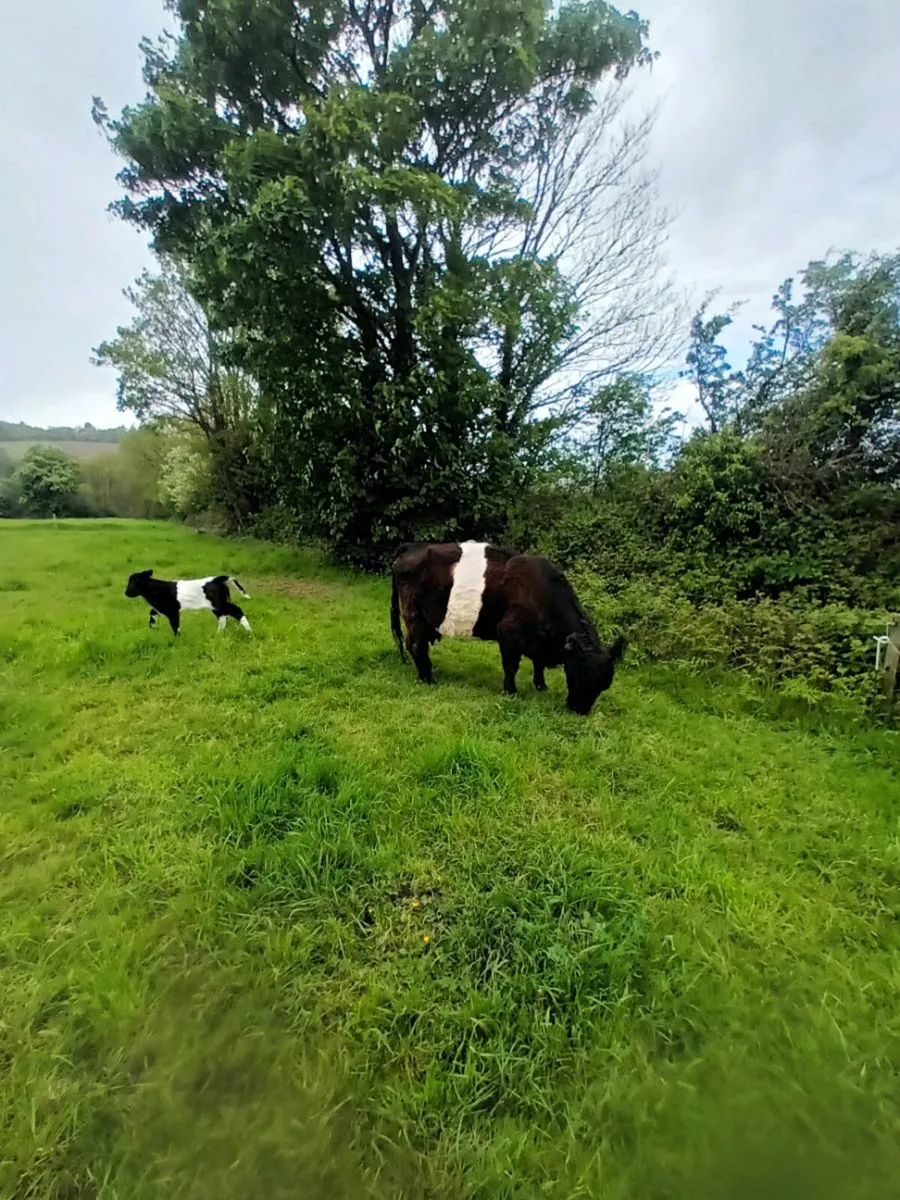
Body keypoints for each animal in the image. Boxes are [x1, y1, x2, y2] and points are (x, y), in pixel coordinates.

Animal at [124, 570, 252, 636]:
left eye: (132, 583)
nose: (126, 593)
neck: (155, 590)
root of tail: (217, 578)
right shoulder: (159, 608)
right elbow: (152, 614)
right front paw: (153, 628)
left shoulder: (172, 610)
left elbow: (175, 625)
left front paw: (177, 638)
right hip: (217, 606)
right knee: (223, 618)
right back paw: (218, 634)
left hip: (219, 604)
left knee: (236, 611)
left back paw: (249, 631)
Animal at [390, 541, 624, 715]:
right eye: (579, 674)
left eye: (604, 685)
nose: (580, 710)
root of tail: (412, 547)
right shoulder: (509, 632)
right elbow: (511, 666)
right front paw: (511, 692)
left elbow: (538, 664)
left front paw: (541, 686)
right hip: (415, 614)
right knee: (415, 645)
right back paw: (427, 679)